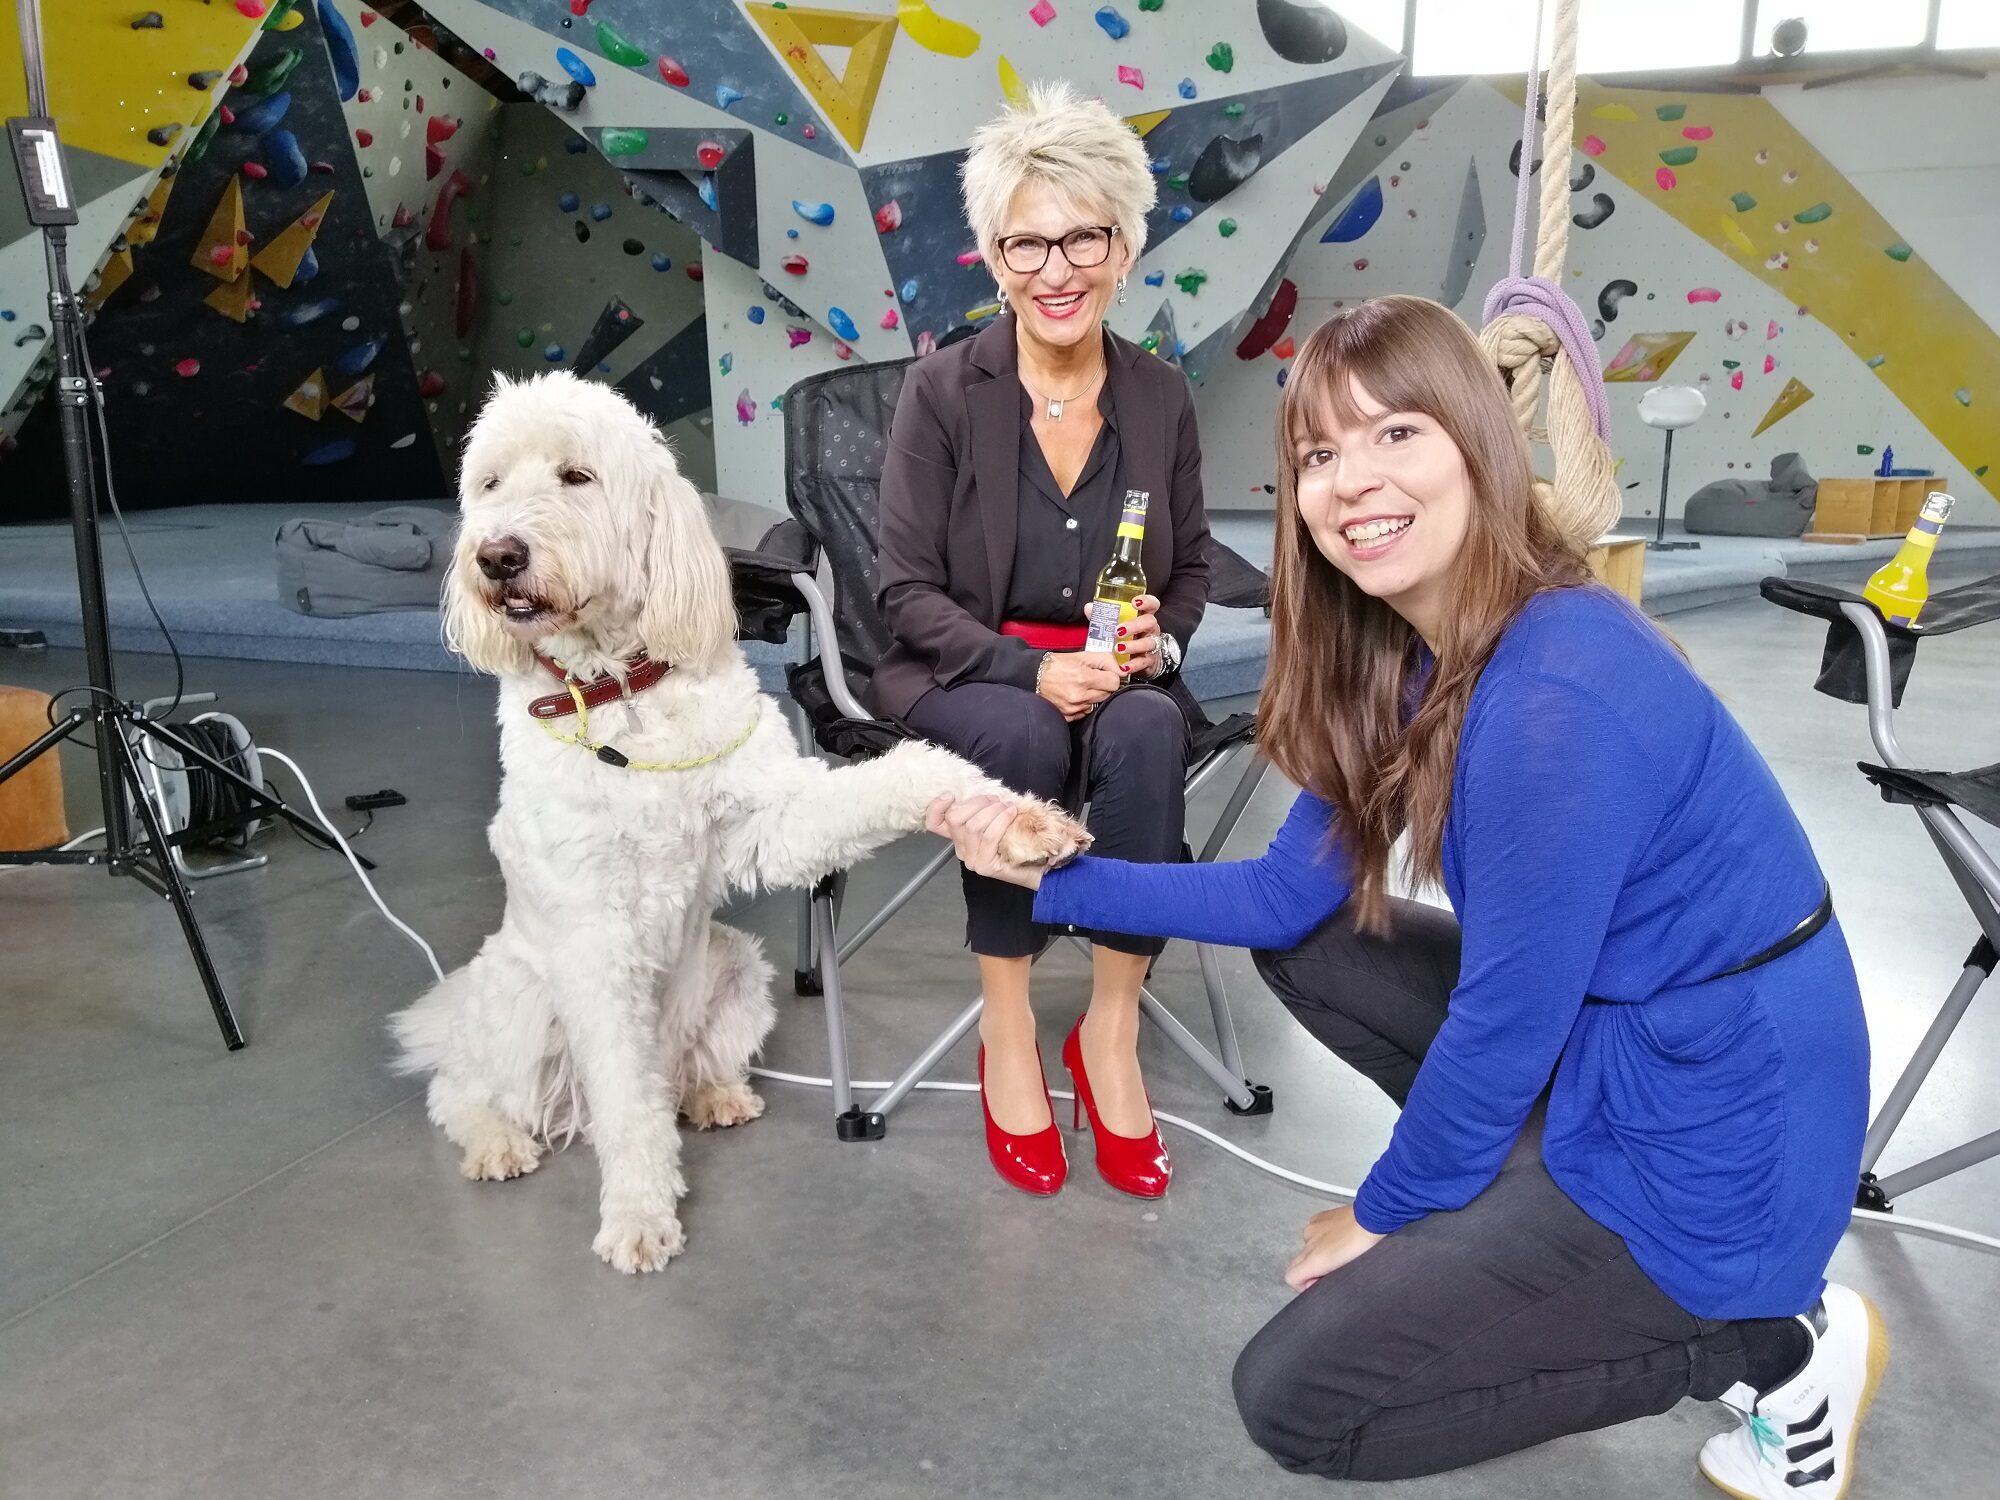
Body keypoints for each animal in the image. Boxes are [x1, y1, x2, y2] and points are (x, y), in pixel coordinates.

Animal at [396, 374, 1088, 1272]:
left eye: (577, 476)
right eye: (489, 485)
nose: (495, 555)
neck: (623, 691)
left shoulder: (777, 817)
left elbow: (913, 769)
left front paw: (1015, 821)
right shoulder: (594, 937)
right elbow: (625, 1099)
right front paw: (639, 1213)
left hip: (739, 970)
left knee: (678, 1071)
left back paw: (714, 1092)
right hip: (518, 1006)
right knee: (466, 1087)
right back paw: (495, 1142)